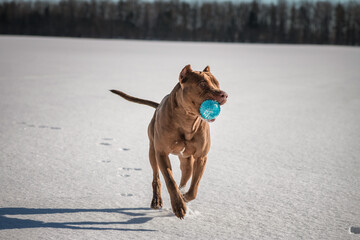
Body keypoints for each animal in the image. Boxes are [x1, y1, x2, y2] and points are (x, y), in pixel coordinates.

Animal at [110, 64, 228, 218]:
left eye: (217, 83)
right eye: (202, 83)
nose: (224, 94)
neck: (188, 120)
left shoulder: (201, 157)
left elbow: (194, 188)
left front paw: (184, 198)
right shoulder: (161, 153)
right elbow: (170, 180)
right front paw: (178, 205)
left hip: (186, 160)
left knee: (185, 177)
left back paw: (182, 192)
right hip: (152, 152)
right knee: (156, 177)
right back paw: (157, 200)